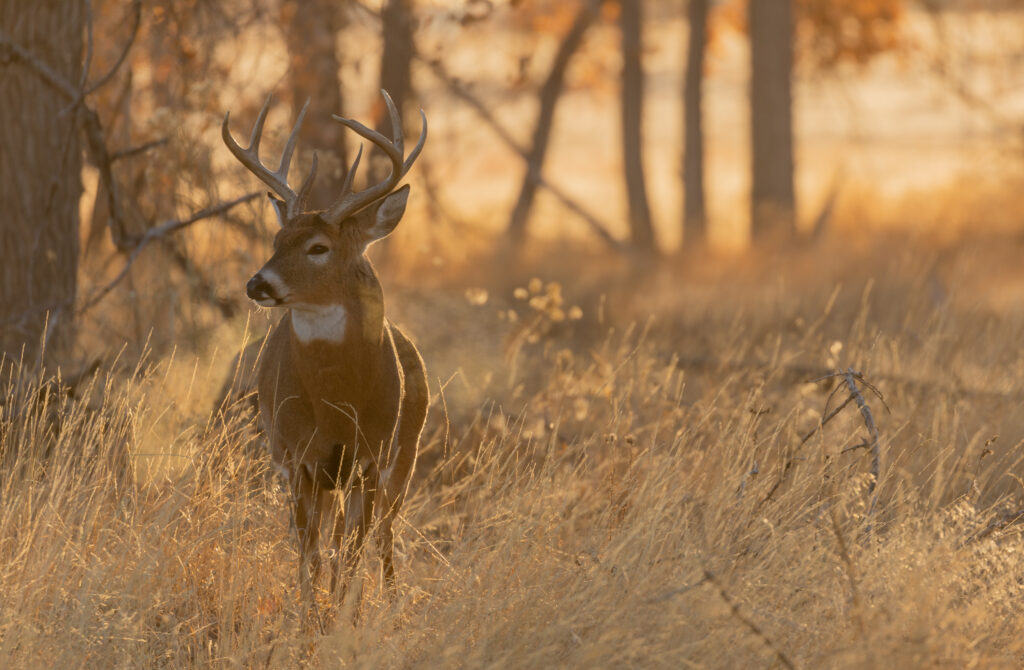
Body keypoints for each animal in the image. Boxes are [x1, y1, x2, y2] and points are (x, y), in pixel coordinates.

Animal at [222, 91, 430, 606]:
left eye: (318, 247)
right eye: (277, 239)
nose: (257, 283)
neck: (337, 404)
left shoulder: (372, 457)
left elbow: (349, 557)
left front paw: (341, 616)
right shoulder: (298, 458)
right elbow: (310, 559)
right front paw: (311, 618)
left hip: (407, 454)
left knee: (384, 537)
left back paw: (391, 602)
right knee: (330, 540)